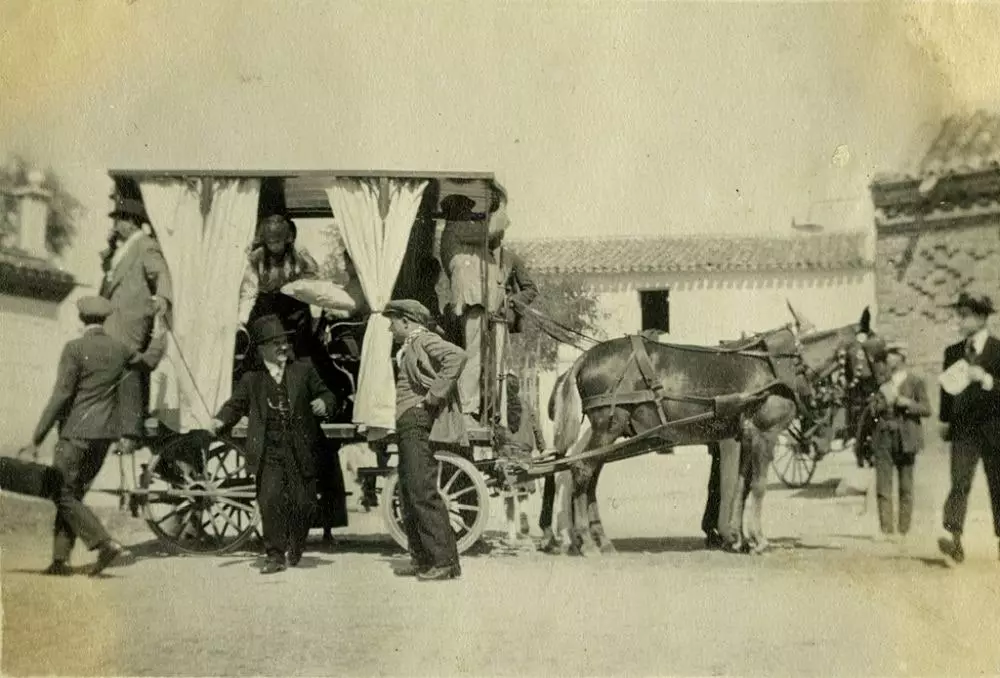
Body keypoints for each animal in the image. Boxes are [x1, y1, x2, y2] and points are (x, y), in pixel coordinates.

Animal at [540, 314, 876, 556]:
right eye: (877, 351)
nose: (876, 399)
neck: (782, 368)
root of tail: (583, 359)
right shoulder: (764, 434)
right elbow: (758, 486)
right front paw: (758, 540)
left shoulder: (745, 435)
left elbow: (740, 486)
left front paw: (739, 539)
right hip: (607, 428)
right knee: (580, 471)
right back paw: (585, 541)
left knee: (585, 477)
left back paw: (597, 540)